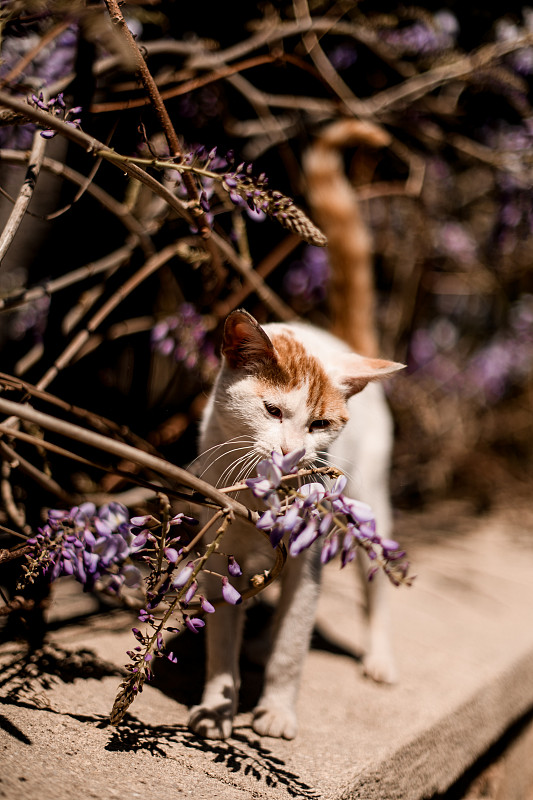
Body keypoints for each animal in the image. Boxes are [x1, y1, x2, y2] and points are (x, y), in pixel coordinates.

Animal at [187, 117, 400, 736]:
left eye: (321, 423)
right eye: (273, 412)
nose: (290, 452)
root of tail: (342, 343)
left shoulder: (309, 565)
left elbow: (293, 646)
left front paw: (276, 711)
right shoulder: (218, 558)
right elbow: (221, 641)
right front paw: (219, 705)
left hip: (371, 504)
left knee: (375, 591)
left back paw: (379, 657)